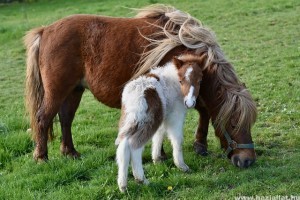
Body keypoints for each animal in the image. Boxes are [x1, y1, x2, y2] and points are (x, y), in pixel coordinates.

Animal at [24, 4, 256, 169]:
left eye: (250, 123)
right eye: (233, 124)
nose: (248, 160)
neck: (183, 47)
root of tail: (45, 30)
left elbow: (204, 110)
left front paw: (200, 145)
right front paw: (162, 155)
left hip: (74, 90)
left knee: (65, 119)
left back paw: (70, 152)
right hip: (57, 91)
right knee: (43, 118)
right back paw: (42, 157)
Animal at [115, 54, 206, 191]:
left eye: (200, 81)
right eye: (181, 81)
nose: (190, 103)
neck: (173, 83)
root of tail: (136, 95)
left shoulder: (163, 116)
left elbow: (159, 135)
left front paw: (157, 160)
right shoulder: (175, 115)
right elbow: (177, 140)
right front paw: (182, 166)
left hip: (130, 120)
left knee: (123, 146)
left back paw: (123, 186)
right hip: (148, 122)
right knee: (134, 146)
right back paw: (142, 180)